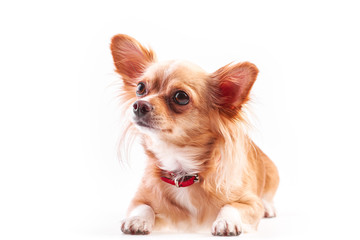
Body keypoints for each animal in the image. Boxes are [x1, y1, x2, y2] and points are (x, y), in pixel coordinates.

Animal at [109, 33, 278, 236]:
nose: (139, 105)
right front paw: (137, 220)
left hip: (272, 173)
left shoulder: (251, 203)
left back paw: (269, 207)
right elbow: (143, 206)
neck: (182, 170)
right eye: (140, 88)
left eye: (181, 97)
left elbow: (232, 206)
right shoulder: (138, 198)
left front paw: (226, 222)